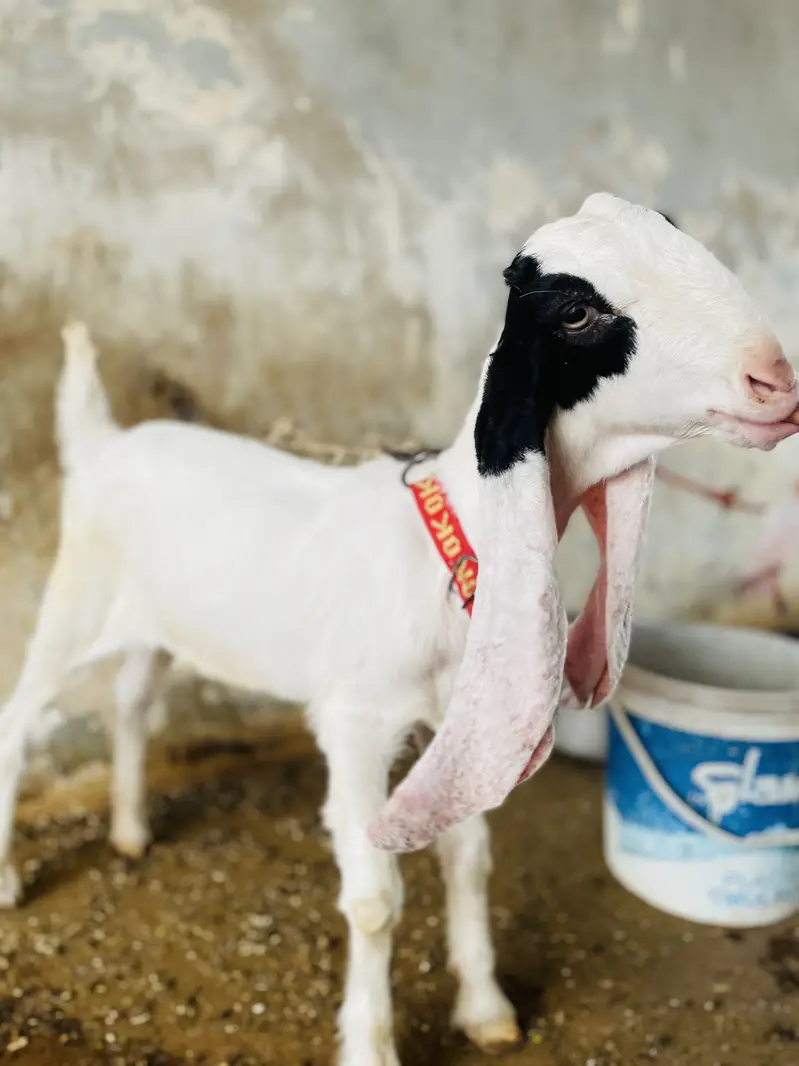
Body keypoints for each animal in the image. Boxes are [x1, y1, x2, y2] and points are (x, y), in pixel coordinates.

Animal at [1, 193, 798, 1066]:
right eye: (576, 312)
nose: (773, 377)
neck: (445, 547)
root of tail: (103, 443)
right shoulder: (354, 723)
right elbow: (375, 899)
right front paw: (372, 1044)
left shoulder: (460, 721)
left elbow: (469, 860)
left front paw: (485, 1007)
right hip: (76, 599)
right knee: (21, 718)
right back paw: (11, 876)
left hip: (160, 624)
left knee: (132, 703)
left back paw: (131, 830)